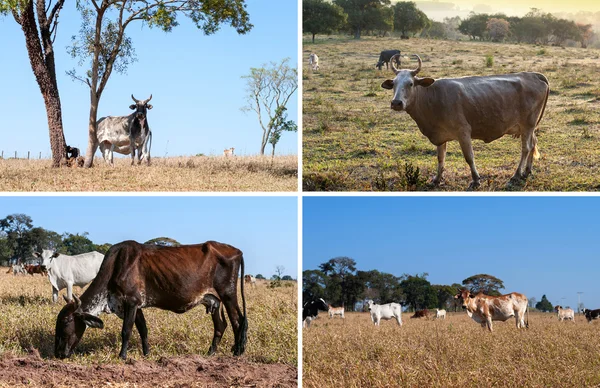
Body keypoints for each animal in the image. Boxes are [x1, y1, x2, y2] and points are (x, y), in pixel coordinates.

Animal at [53, 239, 246, 360]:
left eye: (66, 321)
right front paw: (146, 354)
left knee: (238, 321)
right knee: (221, 325)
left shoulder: (131, 302)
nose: (58, 353)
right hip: (214, 301)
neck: (116, 265)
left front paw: (122, 356)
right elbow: (143, 330)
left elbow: (126, 331)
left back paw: (237, 352)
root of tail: (237, 251)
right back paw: (211, 353)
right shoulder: (136, 306)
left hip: (228, 295)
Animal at [382, 53, 552, 189]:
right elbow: (440, 158)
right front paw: (436, 179)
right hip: (529, 128)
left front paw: (476, 180)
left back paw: (516, 175)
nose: (396, 103)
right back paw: (527, 171)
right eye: (394, 84)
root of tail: (533, 75)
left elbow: (469, 157)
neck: (432, 96)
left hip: (528, 125)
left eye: (410, 84)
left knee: (526, 148)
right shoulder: (440, 134)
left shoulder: (463, 131)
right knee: (533, 144)